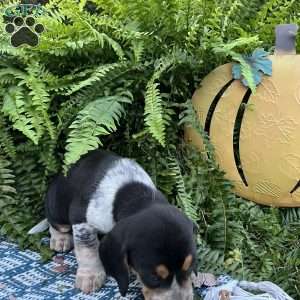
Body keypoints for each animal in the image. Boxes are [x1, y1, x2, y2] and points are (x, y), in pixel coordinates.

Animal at [31, 151, 196, 298]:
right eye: (153, 277)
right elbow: (87, 248)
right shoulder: (80, 218)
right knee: (55, 224)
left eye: (189, 268)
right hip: (57, 208)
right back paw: (60, 239)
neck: (134, 195)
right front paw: (90, 275)